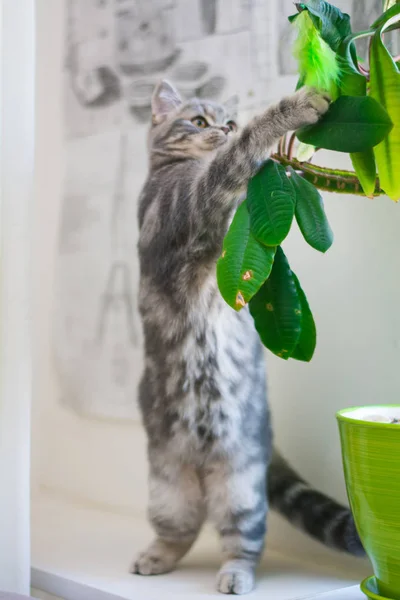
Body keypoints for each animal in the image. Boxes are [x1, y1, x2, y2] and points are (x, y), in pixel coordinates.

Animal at [134, 81, 362, 596]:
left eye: (228, 120)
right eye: (199, 120)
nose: (223, 129)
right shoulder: (189, 204)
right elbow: (235, 160)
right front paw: (293, 107)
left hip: (240, 487)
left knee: (238, 540)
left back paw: (231, 571)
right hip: (168, 490)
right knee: (183, 532)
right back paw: (161, 558)